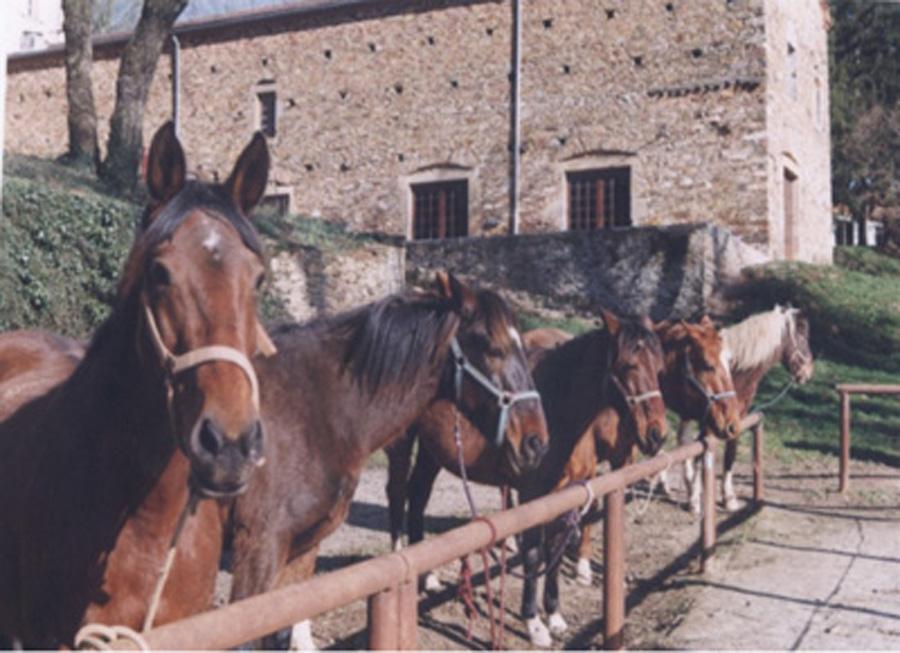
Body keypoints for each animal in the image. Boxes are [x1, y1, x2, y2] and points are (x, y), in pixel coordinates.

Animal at [386, 310, 668, 648]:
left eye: (660, 368)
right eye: (628, 365)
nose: (657, 434)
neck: (556, 403)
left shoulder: (567, 494)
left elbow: (556, 551)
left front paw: (555, 617)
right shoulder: (532, 495)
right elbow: (534, 554)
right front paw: (534, 624)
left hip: (433, 452)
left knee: (418, 495)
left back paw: (428, 577)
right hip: (403, 443)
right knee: (398, 493)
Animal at [660, 304, 816, 512]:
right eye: (802, 336)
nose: (807, 372)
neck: (735, 371)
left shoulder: (735, 420)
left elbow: (730, 454)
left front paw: (728, 498)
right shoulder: (709, 423)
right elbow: (702, 457)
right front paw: (694, 500)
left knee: (681, 440)